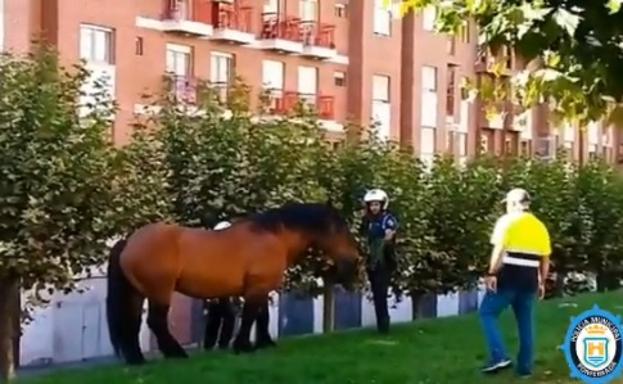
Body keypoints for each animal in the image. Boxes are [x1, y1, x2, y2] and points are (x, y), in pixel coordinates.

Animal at [107, 202, 360, 364]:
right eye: (339, 229)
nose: (355, 259)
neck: (273, 236)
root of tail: (129, 242)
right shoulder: (256, 288)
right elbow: (249, 317)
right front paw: (243, 346)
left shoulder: (260, 288)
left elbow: (261, 317)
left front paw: (264, 343)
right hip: (160, 292)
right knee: (156, 322)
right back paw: (176, 354)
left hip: (137, 293)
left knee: (132, 323)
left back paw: (137, 360)